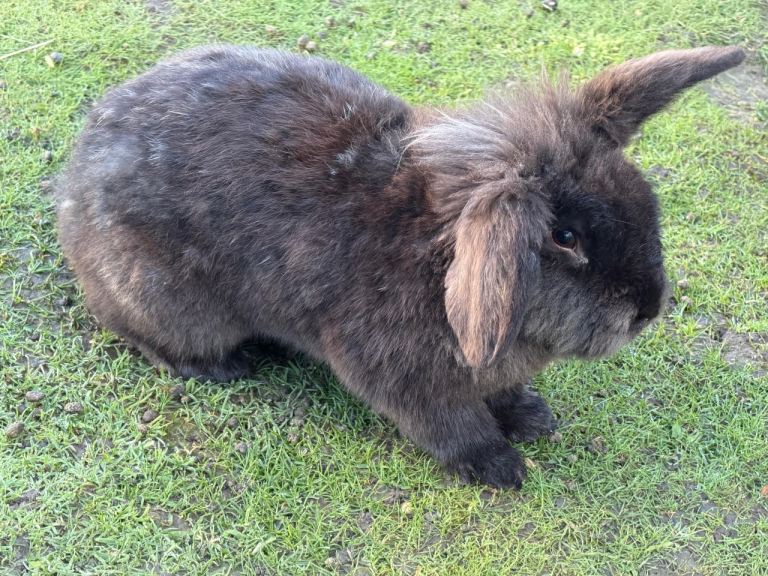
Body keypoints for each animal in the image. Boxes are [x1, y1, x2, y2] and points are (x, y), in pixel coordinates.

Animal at [55, 44, 745, 488]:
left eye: (642, 197)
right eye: (565, 237)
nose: (648, 308)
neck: (439, 259)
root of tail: (73, 186)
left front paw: (531, 417)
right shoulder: (405, 379)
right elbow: (452, 425)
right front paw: (499, 467)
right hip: (166, 302)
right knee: (151, 339)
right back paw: (228, 365)